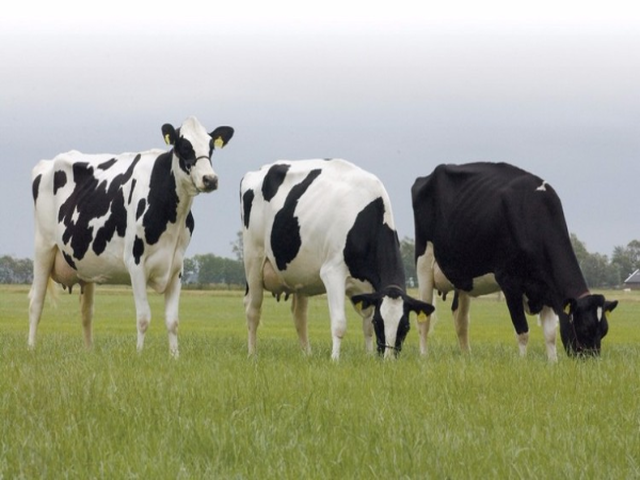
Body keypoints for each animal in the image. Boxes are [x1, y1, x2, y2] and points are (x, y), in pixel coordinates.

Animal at [29, 116, 234, 356]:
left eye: (211, 147)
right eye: (184, 146)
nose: (210, 179)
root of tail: (47, 163)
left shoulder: (176, 267)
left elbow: (172, 321)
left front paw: (175, 356)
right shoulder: (136, 263)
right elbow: (143, 317)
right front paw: (139, 355)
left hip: (84, 264)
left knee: (86, 312)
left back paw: (89, 352)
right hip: (43, 248)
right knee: (36, 302)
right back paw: (31, 347)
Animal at [241, 158, 434, 360]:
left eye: (405, 326)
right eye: (379, 322)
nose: (388, 359)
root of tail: (259, 170)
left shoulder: (370, 290)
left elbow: (366, 326)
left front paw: (368, 356)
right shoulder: (332, 272)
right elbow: (340, 323)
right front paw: (334, 359)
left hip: (299, 274)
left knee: (299, 315)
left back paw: (307, 354)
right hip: (253, 260)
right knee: (253, 310)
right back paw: (252, 354)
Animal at [412, 162, 618, 361]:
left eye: (604, 331)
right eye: (584, 328)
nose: (592, 362)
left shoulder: (547, 290)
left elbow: (550, 334)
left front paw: (553, 363)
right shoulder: (509, 282)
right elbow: (523, 331)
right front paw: (523, 363)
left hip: (462, 277)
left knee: (460, 319)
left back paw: (466, 356)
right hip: (423, 263)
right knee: (425, 319)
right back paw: (423, 355)